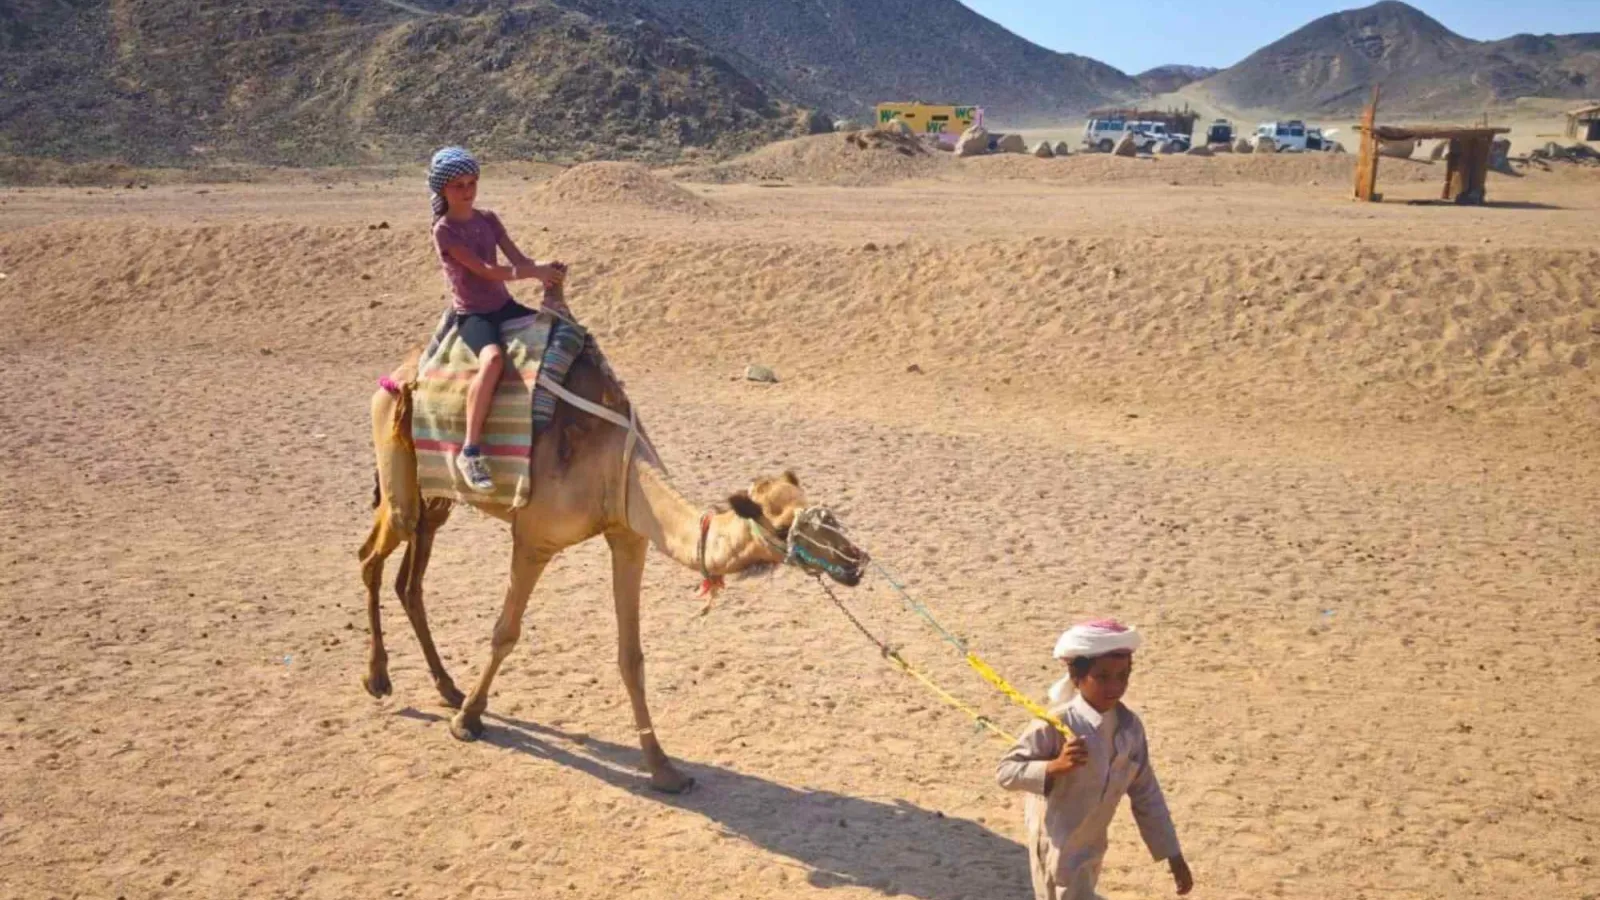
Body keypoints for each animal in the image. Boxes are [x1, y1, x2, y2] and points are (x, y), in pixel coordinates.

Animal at [358, 322, 868, 793]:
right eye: (784, 527)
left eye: (826, 512)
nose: (855, 561)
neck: (612, 466)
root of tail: (398, 373)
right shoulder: (534, 540)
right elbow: (505, 633)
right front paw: (468, 721)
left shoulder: (628, 537)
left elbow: (631, 656)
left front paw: (664, 769)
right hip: (400, 470)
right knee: (371, 557)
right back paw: (379, 679)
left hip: (436, 499)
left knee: (409, 580)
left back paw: (446, 686)